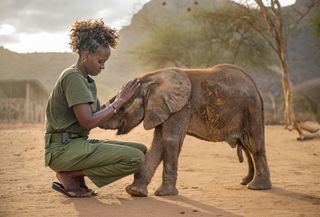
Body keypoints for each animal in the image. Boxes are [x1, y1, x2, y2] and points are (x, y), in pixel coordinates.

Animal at [101, 63, 272, 196]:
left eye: (122, 108)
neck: (152, 79)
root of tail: (255, 86)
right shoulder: (164, 108)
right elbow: (158, 143)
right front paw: (134, 192)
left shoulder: (180, 108)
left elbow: (170, 140)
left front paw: (164, 194)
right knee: (247, 147)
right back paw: (245, 181)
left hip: (250, 109)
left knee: (254, 145)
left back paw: (257, 187)